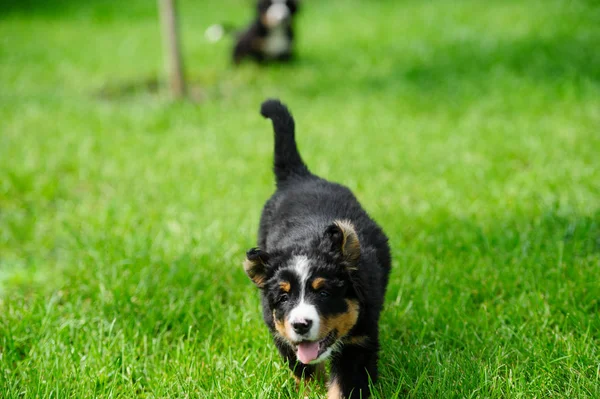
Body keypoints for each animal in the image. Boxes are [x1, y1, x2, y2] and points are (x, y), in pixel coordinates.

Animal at [244, 98, 394, 398]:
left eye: (324, 293)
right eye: (283, 298)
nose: (300, 325)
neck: (309, 239)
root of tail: (299, 177)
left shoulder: (358, 341)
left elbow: (344, 387)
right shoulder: (281, 334)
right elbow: (305, 371)